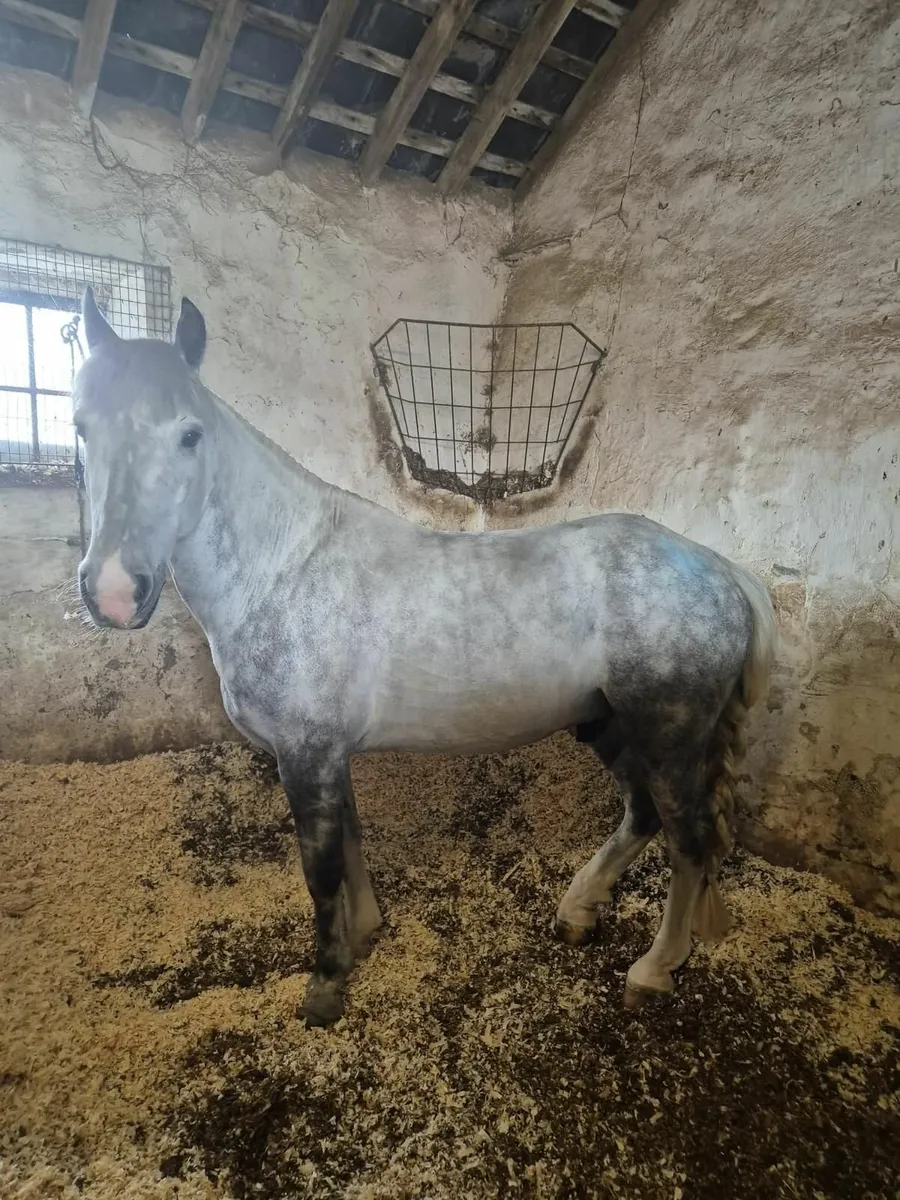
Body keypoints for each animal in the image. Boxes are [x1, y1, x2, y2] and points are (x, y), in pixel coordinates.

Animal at [73, 287, 776, 1026]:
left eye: (189, 434)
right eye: (82, 427)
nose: (114, 591)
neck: (284, 569)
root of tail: (724, 571)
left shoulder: (305, 754)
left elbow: (320, 869)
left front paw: (326, 984)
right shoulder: (328, 754)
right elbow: (352, 837)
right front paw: (364, 934)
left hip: (669, 736)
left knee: (689, 838)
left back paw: (653, 968)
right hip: (606, 722)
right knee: (642, 813)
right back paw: (578, 909)